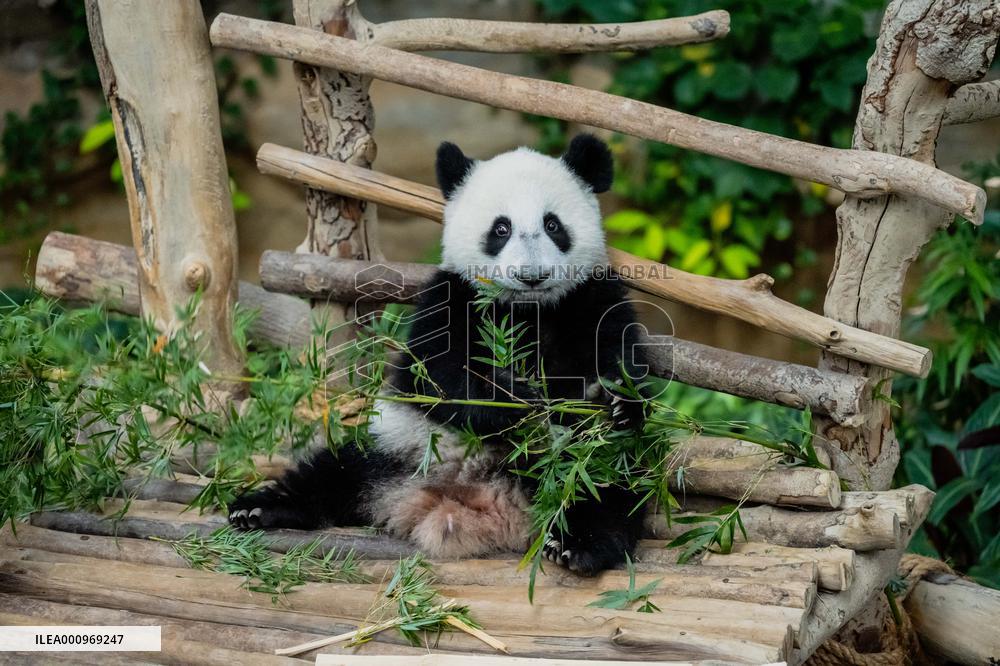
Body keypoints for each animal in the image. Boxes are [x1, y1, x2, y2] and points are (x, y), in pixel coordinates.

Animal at [229, 134, 650, 575]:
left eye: (553, 225)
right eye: (501, 228)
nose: (531, 276)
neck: (527, 309)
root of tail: (471, 496)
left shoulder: (591, 298)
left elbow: (616, 360)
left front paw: (617, 402)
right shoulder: (450, 295)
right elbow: (437, 372)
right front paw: (515, 402)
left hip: (581, 463)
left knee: (607, 483)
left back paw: (578, 544)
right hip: (393, 446)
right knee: (332, 473)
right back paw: (260, 508)